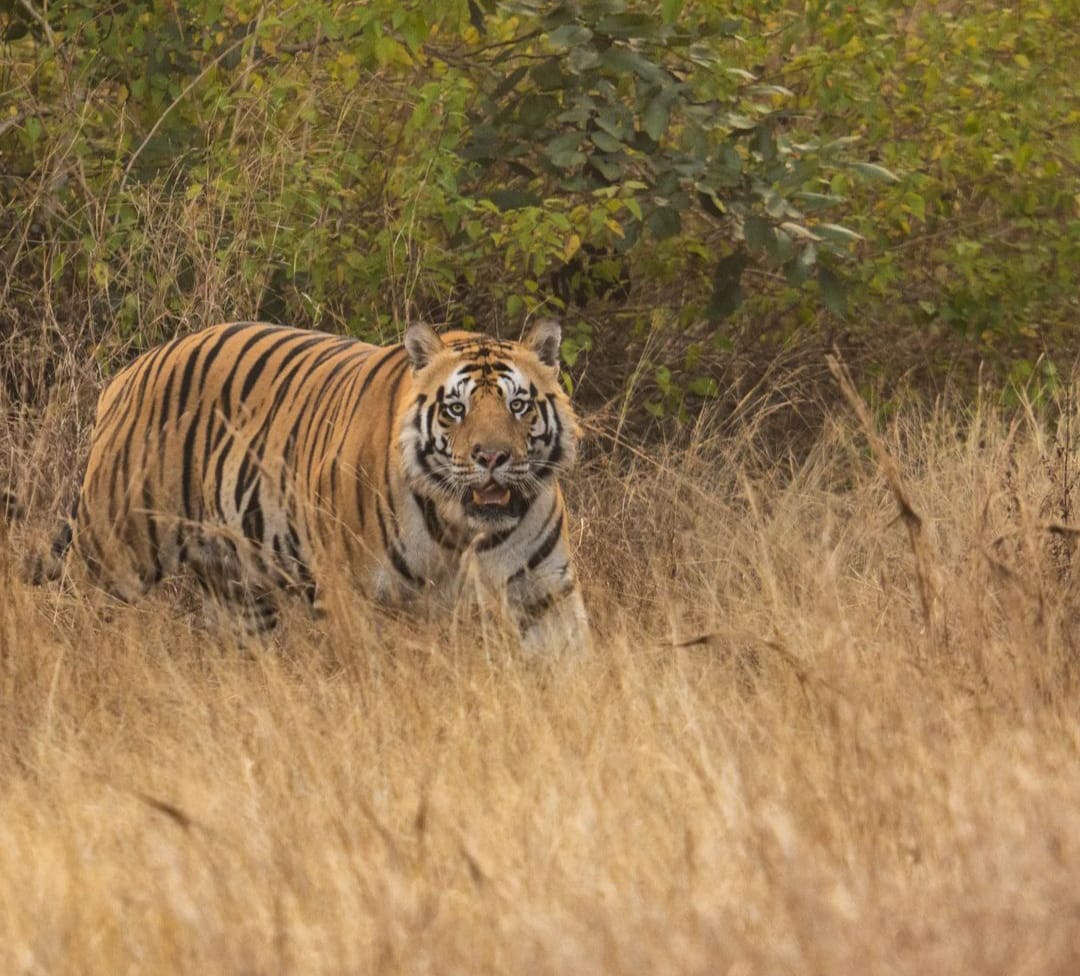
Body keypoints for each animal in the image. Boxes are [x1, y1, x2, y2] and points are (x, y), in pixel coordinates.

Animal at [44, 319, 590, 653]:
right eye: (456, 409)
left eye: (518, 405)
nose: (492, 457)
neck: (459, 528)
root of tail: (129, 372)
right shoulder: (348, 595)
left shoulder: (545, 592)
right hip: (113, 554)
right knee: (79, 614)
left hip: (236, 592)